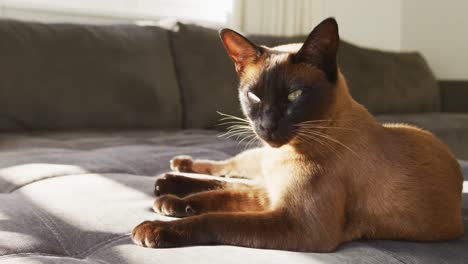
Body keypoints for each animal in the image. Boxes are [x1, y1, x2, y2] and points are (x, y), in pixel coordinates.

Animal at [132, 17, 464, 252]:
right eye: (254, 96)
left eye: (294, 96)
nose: (267, 125)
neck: (285, 153)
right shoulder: (275, 198)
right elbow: (222, 197)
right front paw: (169, 205)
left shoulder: (297, 222)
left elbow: (218, 217)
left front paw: (156, 227)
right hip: (255, 160)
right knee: (224, 171)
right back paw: (172, 175)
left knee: (227, 180)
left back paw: (168, 191)